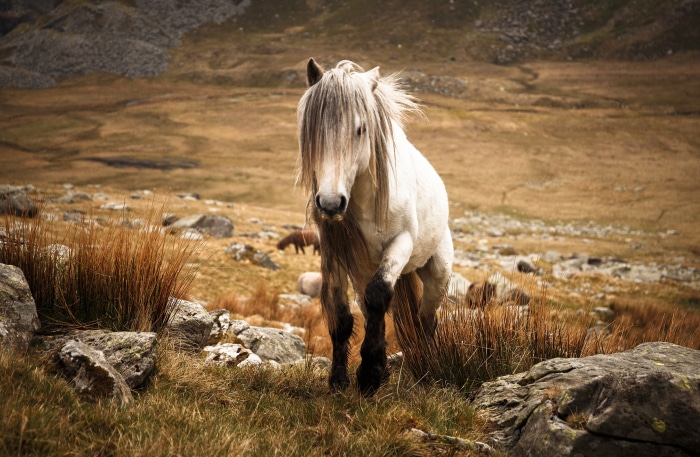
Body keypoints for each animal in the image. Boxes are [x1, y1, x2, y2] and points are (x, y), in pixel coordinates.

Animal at [297, 58, 454, 395]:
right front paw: (340, 380)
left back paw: (426, 366)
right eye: (313, 130)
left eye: (360, 129)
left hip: (436, 274)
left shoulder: (401, 242)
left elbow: (380, 294)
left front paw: (370, 375)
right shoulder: (334, 252)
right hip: (362, 270)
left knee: (425, 319)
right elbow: (342, 314)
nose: (331, 203)